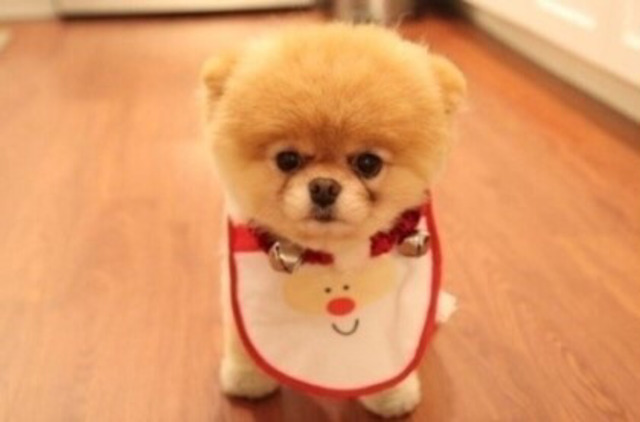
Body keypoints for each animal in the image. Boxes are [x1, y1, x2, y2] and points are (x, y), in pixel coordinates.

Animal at [202, 23, 465, 418]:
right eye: (287, 159)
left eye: (368, 163)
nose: (324, 186)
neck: (329, 258)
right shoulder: (235, 306)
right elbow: (243, 347)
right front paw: (247, 381)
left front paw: (392, 397)